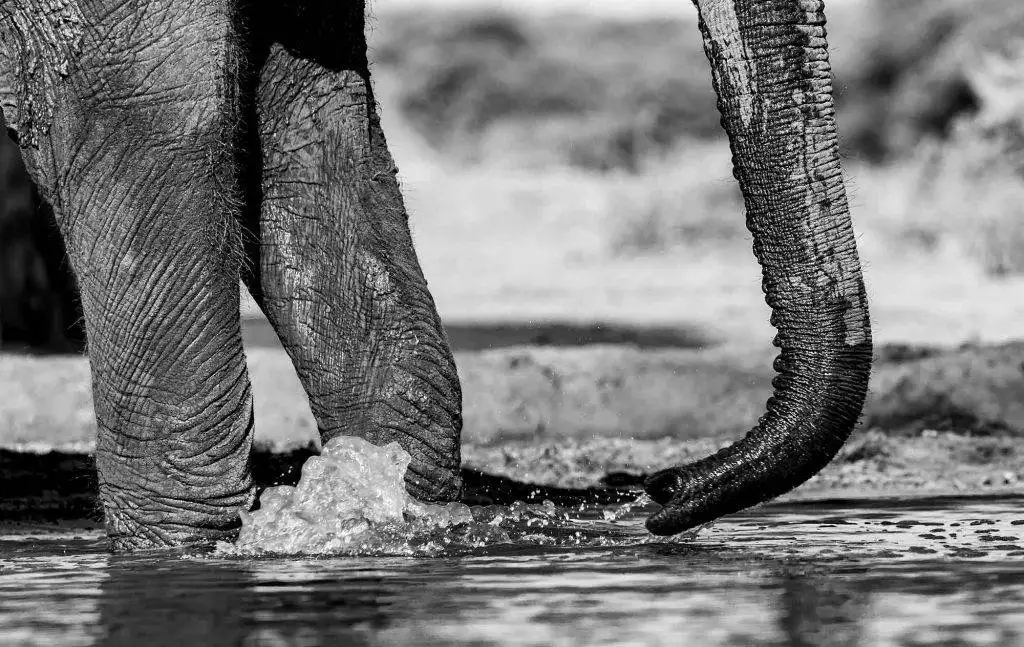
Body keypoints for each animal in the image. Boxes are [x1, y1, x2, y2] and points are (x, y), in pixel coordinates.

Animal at [0, 0, 873, 550]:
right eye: (656, 486)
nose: (657, 487)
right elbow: (144, 113)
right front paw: (177, 555)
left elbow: (309, 119)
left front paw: (378, 515)